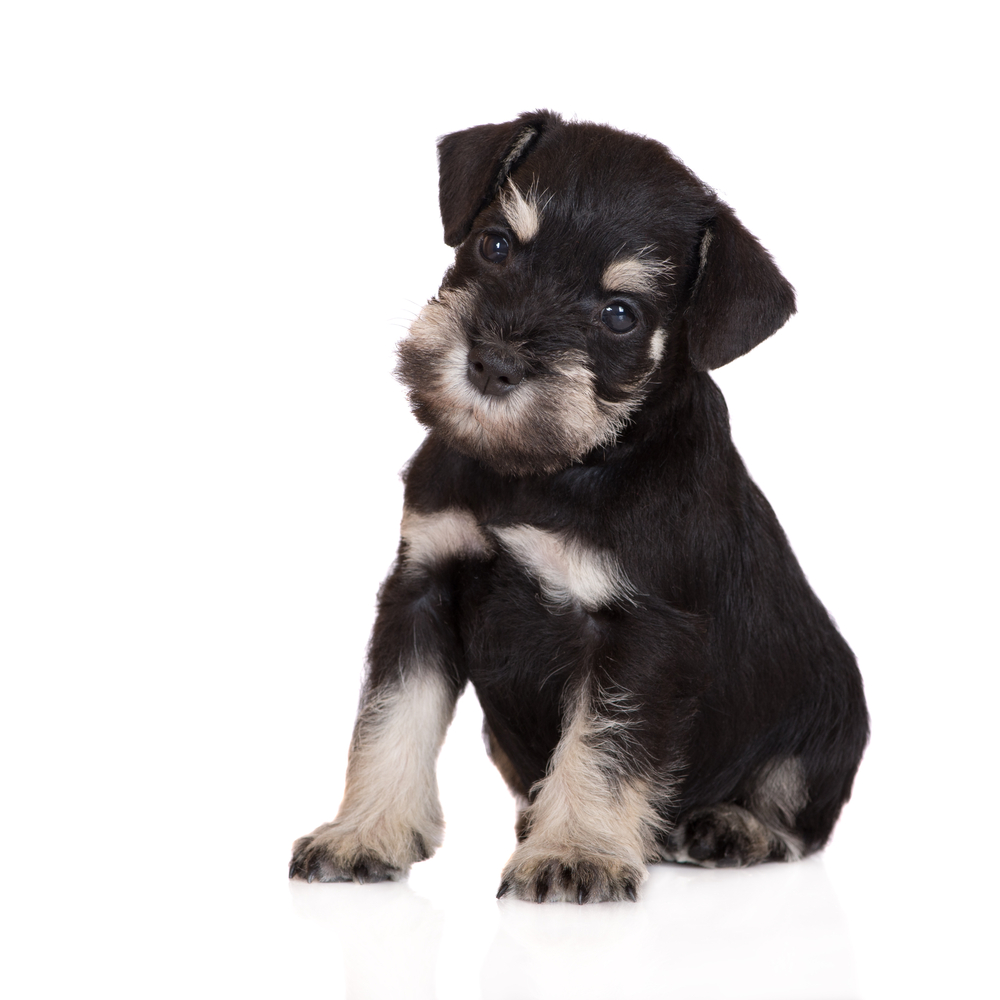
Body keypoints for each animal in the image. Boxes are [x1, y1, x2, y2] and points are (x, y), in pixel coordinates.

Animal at [290, 113, 868, 904]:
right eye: (495, 244)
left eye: (620, 315)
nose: (493, 365)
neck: (547, 471)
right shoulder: (421, 587)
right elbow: (390, 716)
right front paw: (364, 833)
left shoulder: (640, 633)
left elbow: (603, 744)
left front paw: (575, 853)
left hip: (826, 721)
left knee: (797, 814)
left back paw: (730, 827)